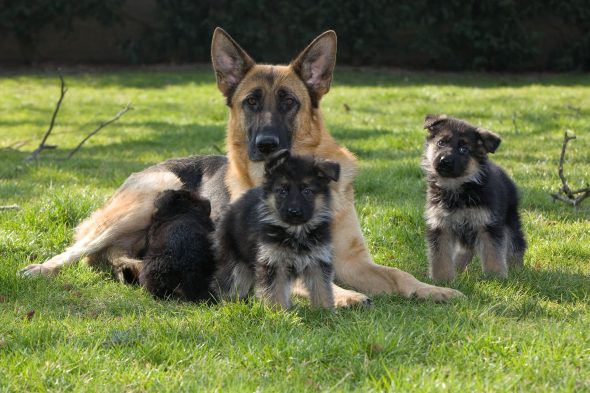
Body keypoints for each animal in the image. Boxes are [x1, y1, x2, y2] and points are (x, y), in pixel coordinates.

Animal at [213, 149, 342, 308]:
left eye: (307, 191)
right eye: (282, 191)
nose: (294, 211)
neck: (295, 232)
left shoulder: (318, 260)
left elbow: (322, 288)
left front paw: (324, 310)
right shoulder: (273, 262)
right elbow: (275, 291)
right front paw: (278, 312)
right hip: (233, 260)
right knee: (231, 282)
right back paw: (230, 304)